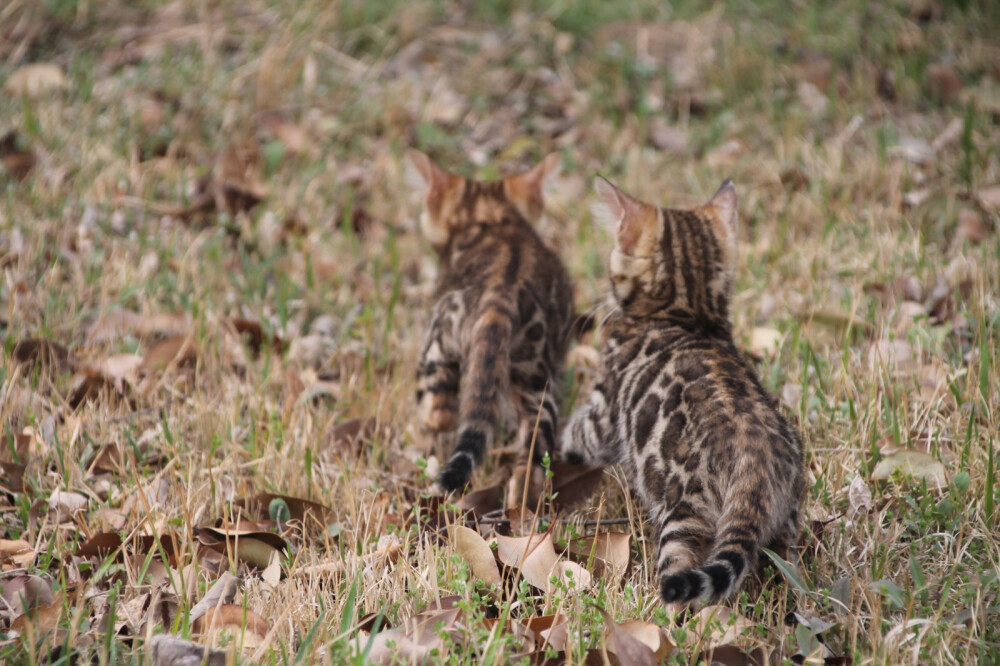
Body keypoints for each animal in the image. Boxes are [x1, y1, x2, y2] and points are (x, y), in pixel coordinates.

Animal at [408, 150, 576, 500]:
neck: (493, 219)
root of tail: (501, 298)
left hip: (438, 340)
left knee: (440, 412)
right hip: (536, 381)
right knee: (534, 450)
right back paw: (522, 500)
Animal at [564, 175, 804, 600]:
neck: (686, 311)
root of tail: (757, 462)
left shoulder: (604, 411)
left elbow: (578, 434)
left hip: (685, 513)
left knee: (683, 574)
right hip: (787, 520)